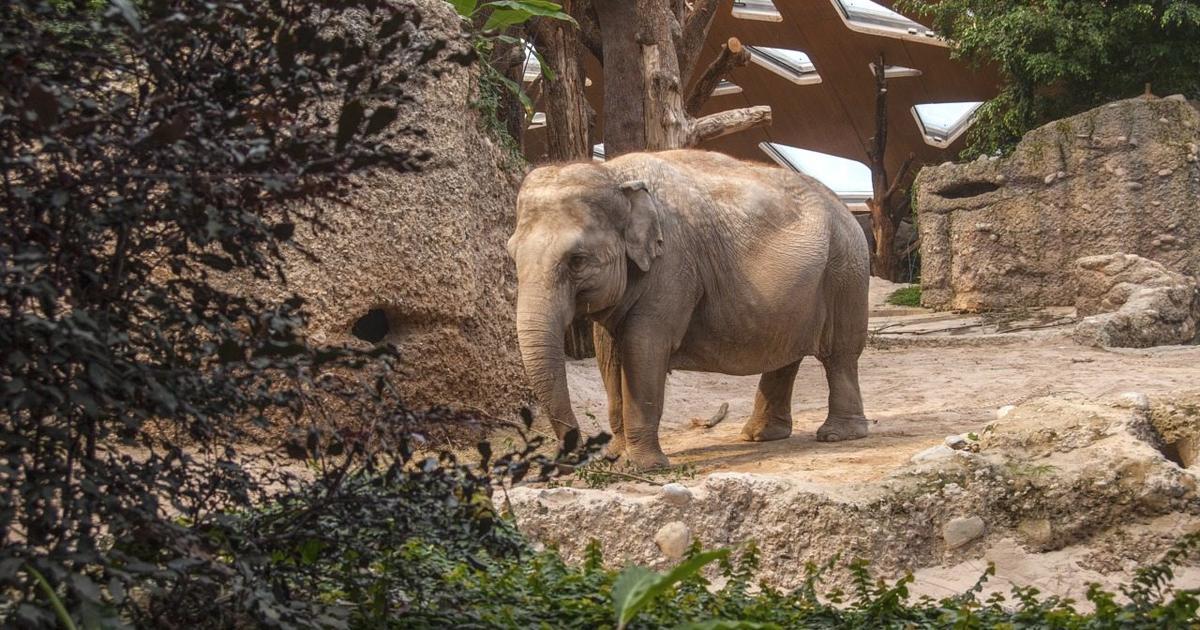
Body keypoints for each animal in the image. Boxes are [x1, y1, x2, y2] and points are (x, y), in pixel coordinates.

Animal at [508, 150, 873, 468]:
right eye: (512, 254)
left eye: (578, 260)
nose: (577, 456)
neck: (614, 174)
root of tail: (845, 208)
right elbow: (608, 353)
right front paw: (615, 459)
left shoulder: (673, 266)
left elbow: (643, 348)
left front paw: (643, 467)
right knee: (784, 355)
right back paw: (759, 436)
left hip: (846, 270)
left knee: (840, 355)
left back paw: (837, 435)